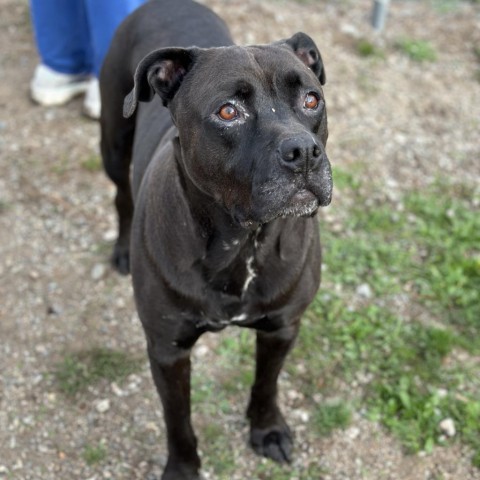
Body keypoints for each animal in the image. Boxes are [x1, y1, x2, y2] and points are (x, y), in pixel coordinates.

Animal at [99, 1, 332, 478]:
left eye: (311, 99)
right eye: (228, 112)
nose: (303, 152)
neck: (241, 243)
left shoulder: (283, 327)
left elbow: (266, 384)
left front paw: (267, 430)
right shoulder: (167, 350)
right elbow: (177, 418)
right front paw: (183, 468)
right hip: (112, 142)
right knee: (120, 194)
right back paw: (122, 248)